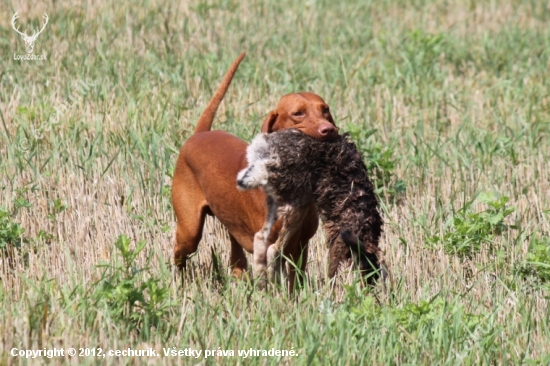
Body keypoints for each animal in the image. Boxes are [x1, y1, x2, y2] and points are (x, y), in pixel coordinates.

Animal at [172, 53, 338, 288]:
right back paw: (180, 283)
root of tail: (199, 134)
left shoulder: (300, 246)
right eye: (298, 113)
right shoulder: (267, 247)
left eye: (325, 109)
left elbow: (295, 283)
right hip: (189, 230)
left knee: (236, 261)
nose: (329, 129)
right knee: (179, 252)